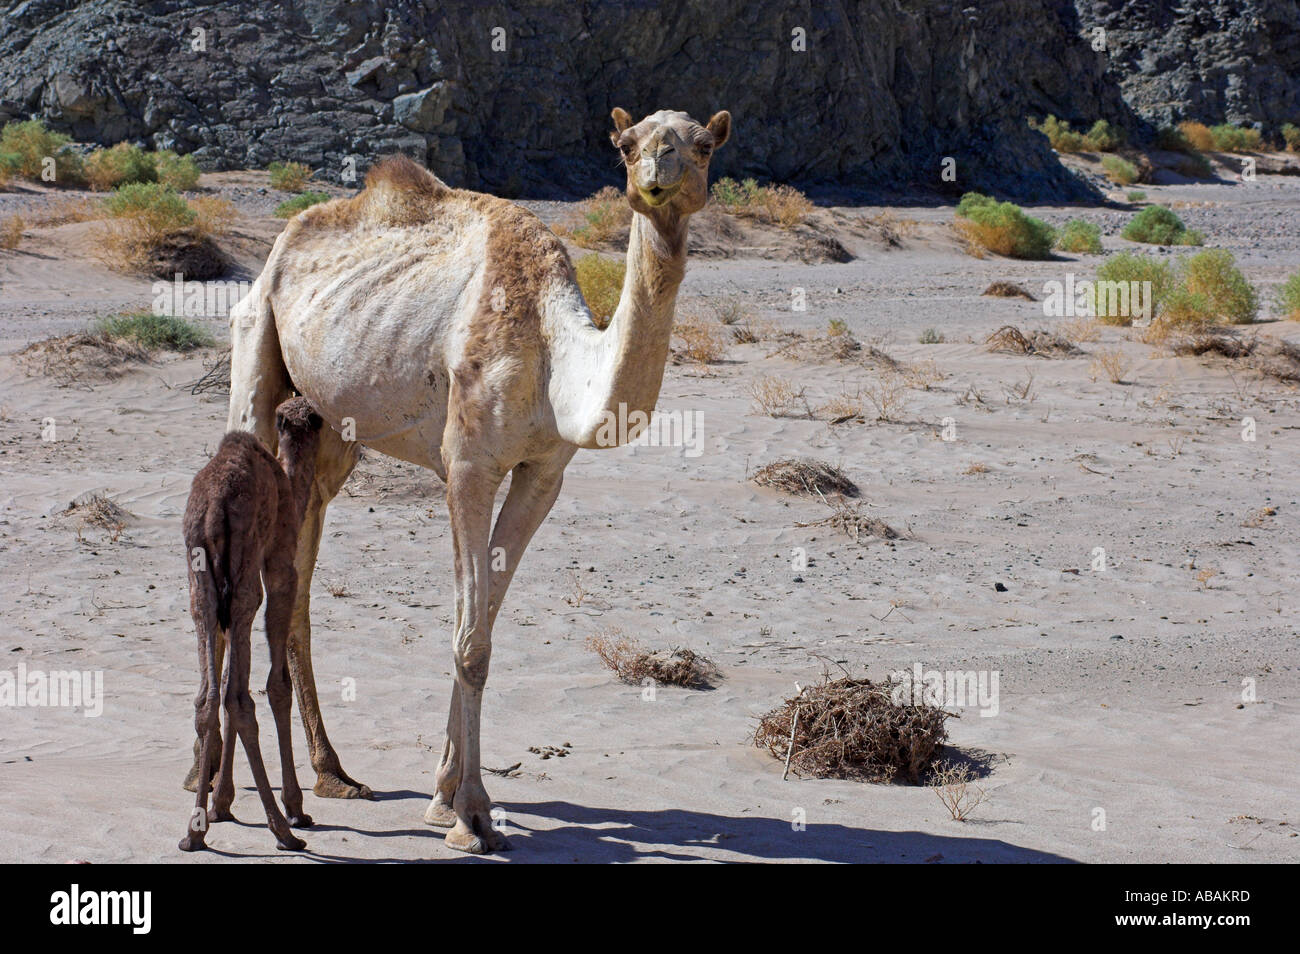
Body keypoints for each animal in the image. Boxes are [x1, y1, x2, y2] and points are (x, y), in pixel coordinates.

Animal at [178, 395, 325, 852]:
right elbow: (277, 685)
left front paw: (221, 804)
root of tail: (213, 513)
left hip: (201, 581)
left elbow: (224, 683)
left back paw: (193, 832)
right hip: (244, 573)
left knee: (208, 697)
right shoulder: (280, 558)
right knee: (242, 699)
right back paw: (283, 829)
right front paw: (297, 807)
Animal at [204, 108, 733, 857]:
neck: (555, 359)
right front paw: (472, 817)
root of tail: (281, 244)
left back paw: (331, 776)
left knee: (298, 578)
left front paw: (442, 793)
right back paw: (221, 795)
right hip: (256, 344)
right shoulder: (467, 464)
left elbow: (480, 620)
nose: (660, 173)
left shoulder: (543, 474)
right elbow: (472, 640)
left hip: (332, 432)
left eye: (704, 144)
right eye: (627, 146)